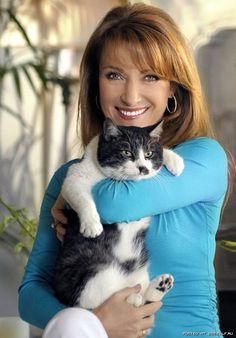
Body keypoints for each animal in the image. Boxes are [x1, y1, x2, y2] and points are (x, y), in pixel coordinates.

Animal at [53, 118, 184, 308]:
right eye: (126, 152)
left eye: (149, 153)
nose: (143, 168)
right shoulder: (75, 175)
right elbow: (82, 197)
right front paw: (92, 225)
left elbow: (161, 153)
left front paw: (174, 160)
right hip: (89, 273)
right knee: (95, 301)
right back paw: (133, 299)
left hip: (138, 272)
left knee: (143, 297)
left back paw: (160, 285)